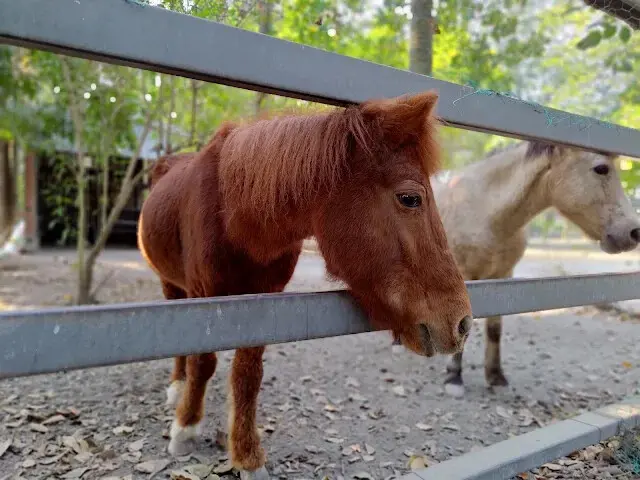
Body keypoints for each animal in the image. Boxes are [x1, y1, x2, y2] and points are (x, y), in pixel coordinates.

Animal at [137, 90, 473, 480]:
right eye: (410, 198)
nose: (462, 323)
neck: (232, 213)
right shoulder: (202, 296)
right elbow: (202, 362)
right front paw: (186, 427)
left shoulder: (264, 300)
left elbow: (248, 375)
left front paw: (247, 455)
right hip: (171, 285)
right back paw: (178, 386)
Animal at [431, 141, 640, 398]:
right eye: (601, 168)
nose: (634, 232)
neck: (485, 211)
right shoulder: (464, 276)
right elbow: (463, 326)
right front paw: (454, 377)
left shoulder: (502, 276)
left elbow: (495, 329)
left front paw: (496, 376)